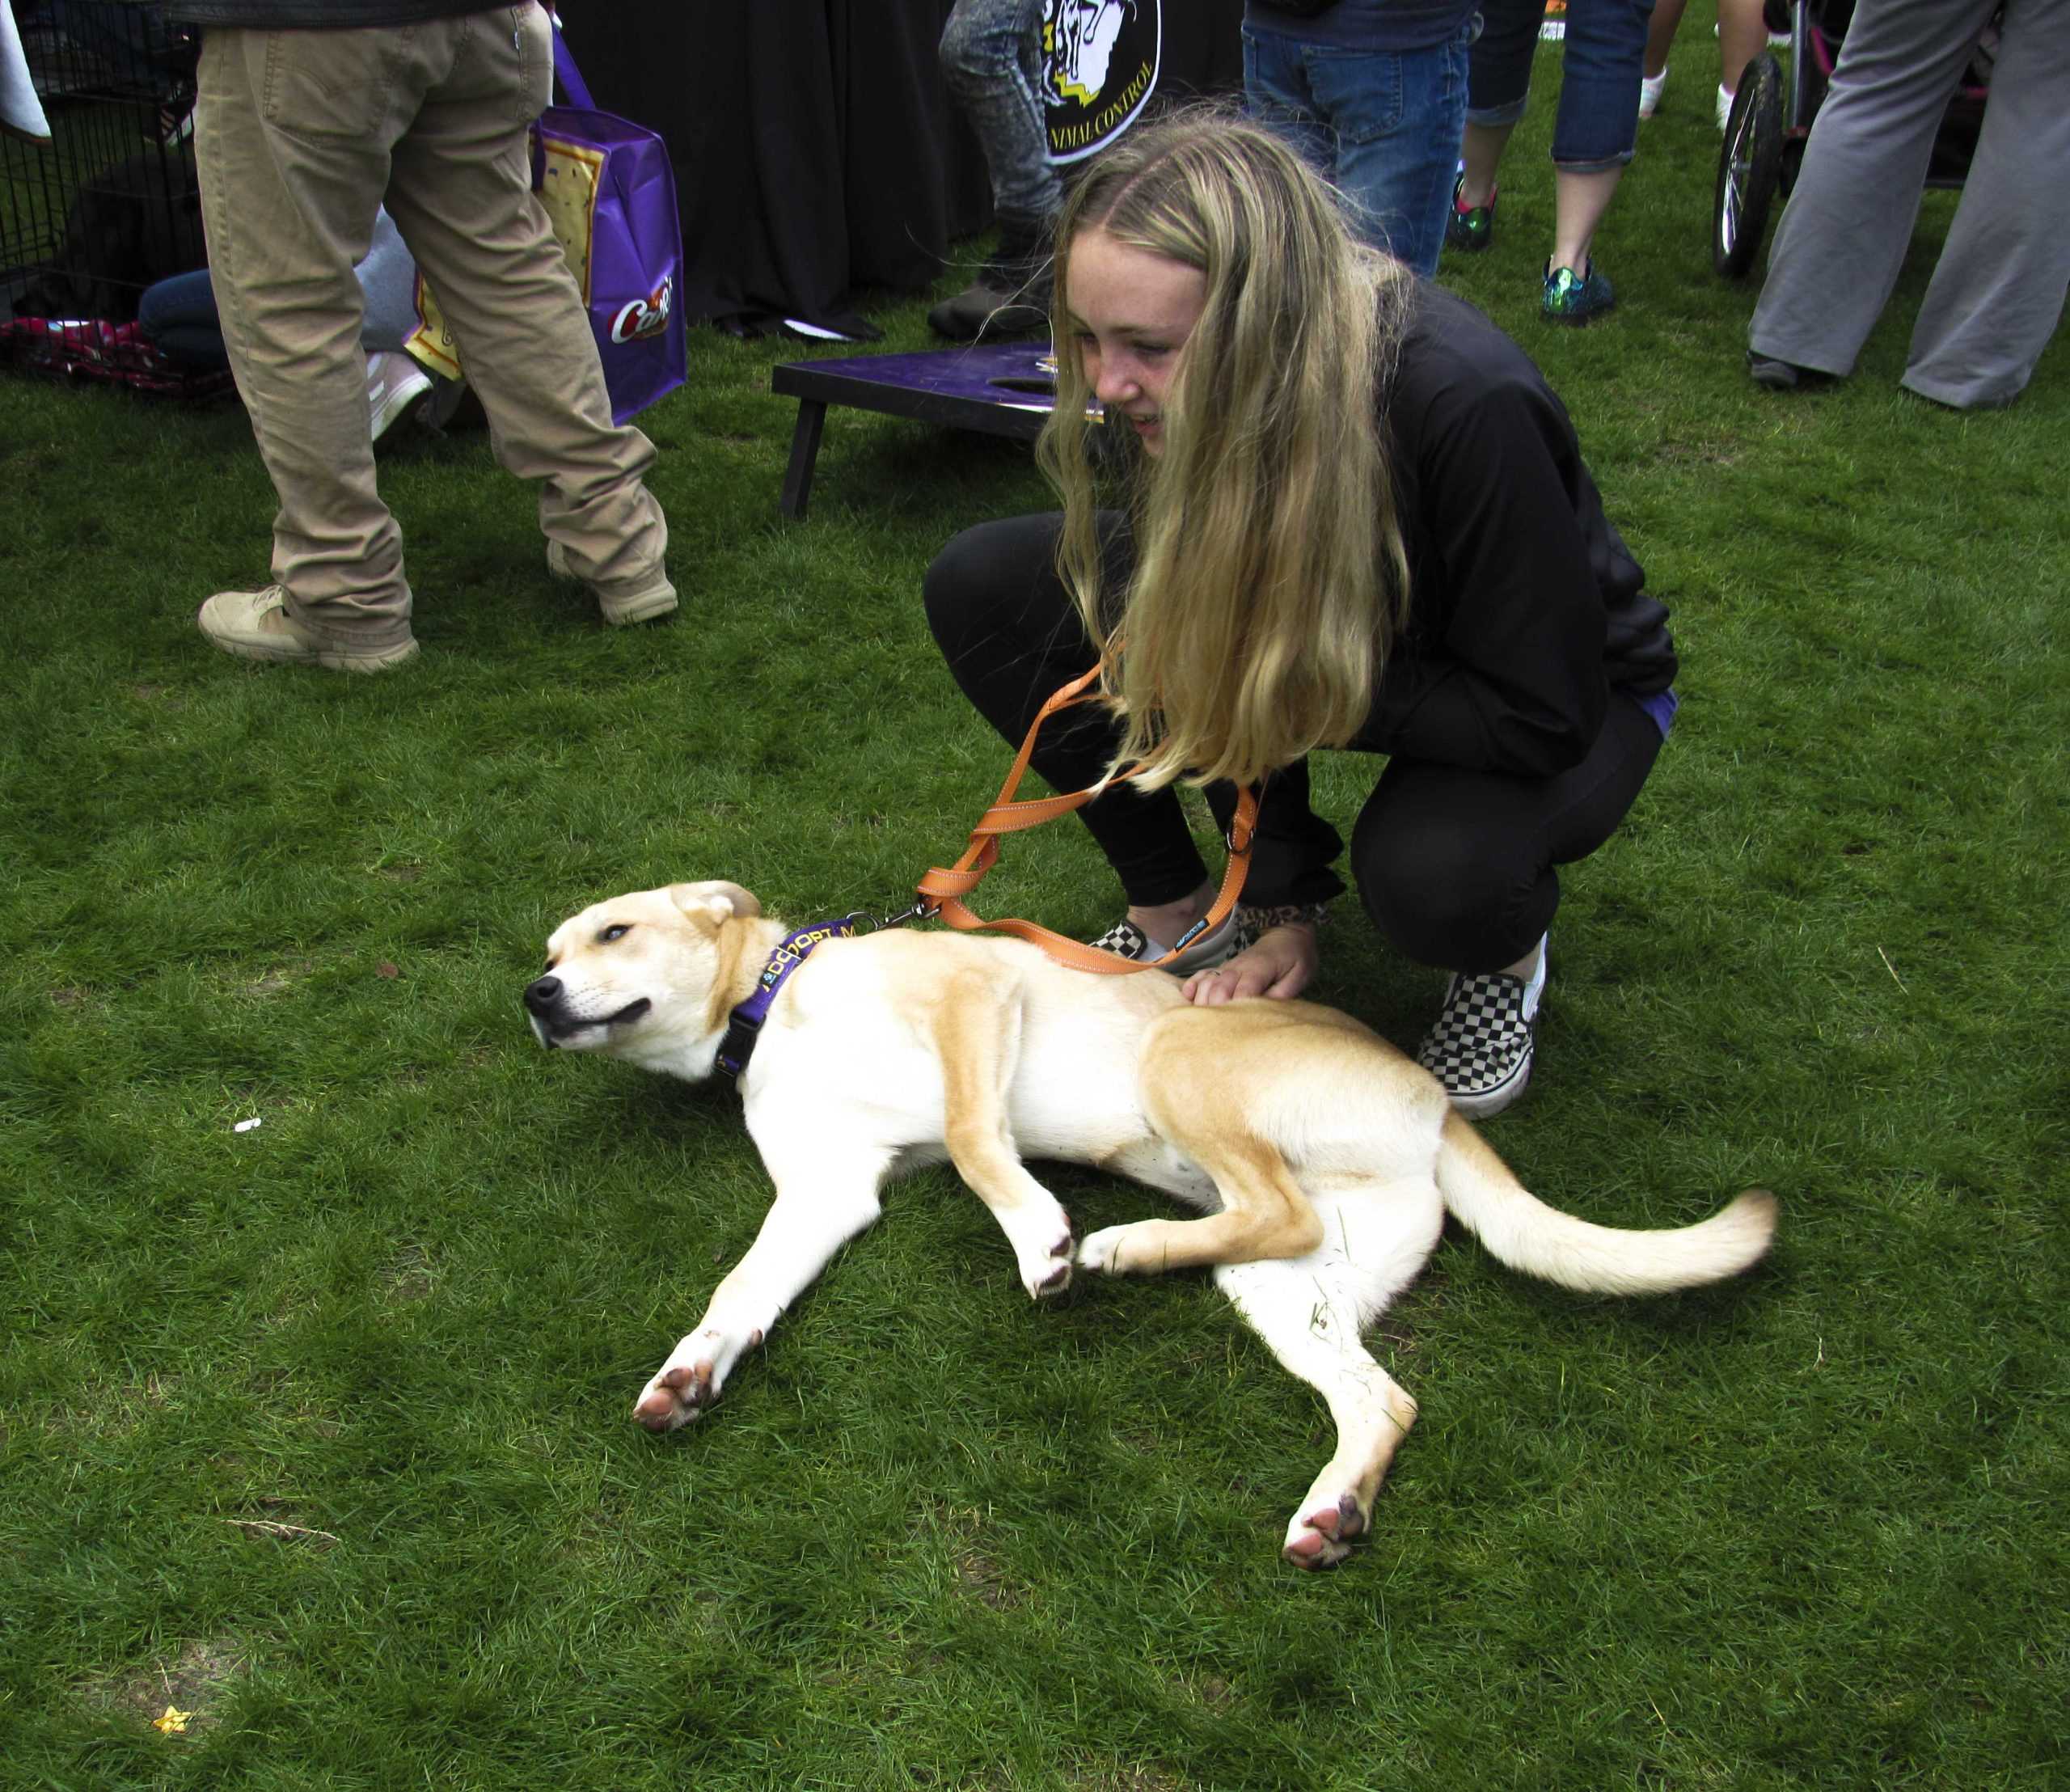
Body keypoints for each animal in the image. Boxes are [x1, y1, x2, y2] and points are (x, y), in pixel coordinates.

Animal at [526, 881, 1772, 1564]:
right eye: (548, 952)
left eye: (613, 934)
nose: (532, 996)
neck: (774, 998)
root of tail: (1432, 1105)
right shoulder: (826, 1192)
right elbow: (740, 1291)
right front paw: (689, 1373)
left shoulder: (975, 997)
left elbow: (976, 1142)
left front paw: (1040, 1237)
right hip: (1293, 1282)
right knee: (1374, 1381)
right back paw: (1332, 1505)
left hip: (1180, 1055)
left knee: (1267, 1208)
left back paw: (1114, 1247)